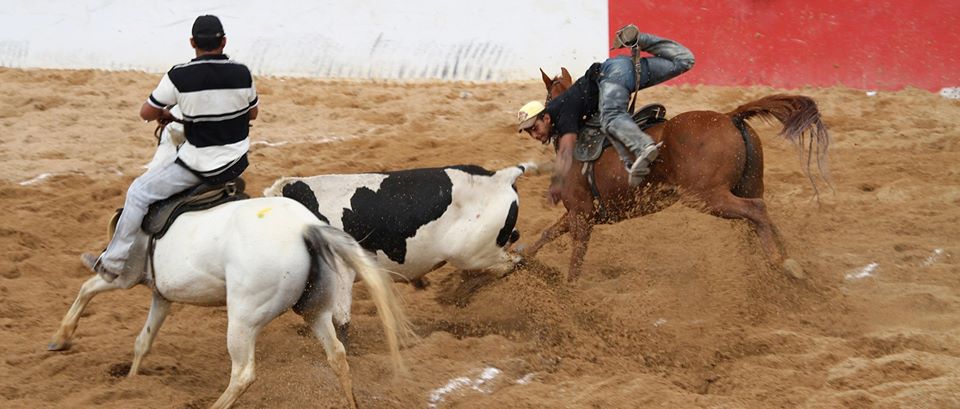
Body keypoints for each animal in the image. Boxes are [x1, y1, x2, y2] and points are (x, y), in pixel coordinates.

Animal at [47, 118, 408, 408]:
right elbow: (143, 341)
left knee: (244, 374)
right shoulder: (162, 296)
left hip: (243, 320)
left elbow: (87, 287)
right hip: (315, 311)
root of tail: (306, 229)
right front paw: (132, 381)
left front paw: (61, 339)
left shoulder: (123, 276)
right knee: (337, 355)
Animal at [520, 69, 828, 280]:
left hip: (707, 196)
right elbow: (546, 233)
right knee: (761, 218)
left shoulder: (582, 215)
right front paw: (519, 259)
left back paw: (781, 263)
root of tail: (731, 116)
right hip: (747, 185)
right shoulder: (579, 213)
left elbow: (575, 261)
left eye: (546, 99)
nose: (534, 129)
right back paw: (783, 260)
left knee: (756, 210)